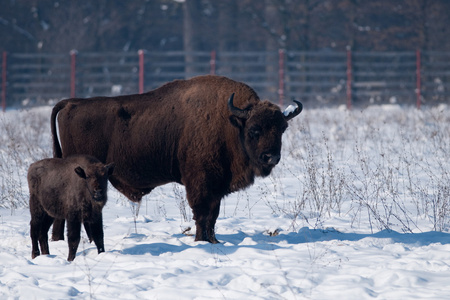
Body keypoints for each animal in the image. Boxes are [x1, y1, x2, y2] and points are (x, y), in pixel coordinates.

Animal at [51, 75, 300, 244]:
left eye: (282, 129)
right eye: (254, 130)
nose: (271, 157)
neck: (231, 123)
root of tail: (71, 103)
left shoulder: (216, 187)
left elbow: (213, 216)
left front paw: (214, 241)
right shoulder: (200, 184)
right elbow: (202, 214)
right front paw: (201, 240)